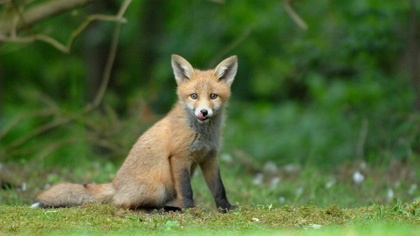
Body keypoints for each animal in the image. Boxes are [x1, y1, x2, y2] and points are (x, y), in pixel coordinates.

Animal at [31, 54, 238, 212]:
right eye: (194, 96)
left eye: (213, 96)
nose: (203, 112)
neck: (202, 133)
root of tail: (115, 184)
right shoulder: (179, 157)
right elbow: (187, 190)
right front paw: (190, 209)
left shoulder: (209, 157)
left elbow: (219, 188)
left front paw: (226, 208)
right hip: (160, 187)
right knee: (125, 204)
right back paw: (164, 209)